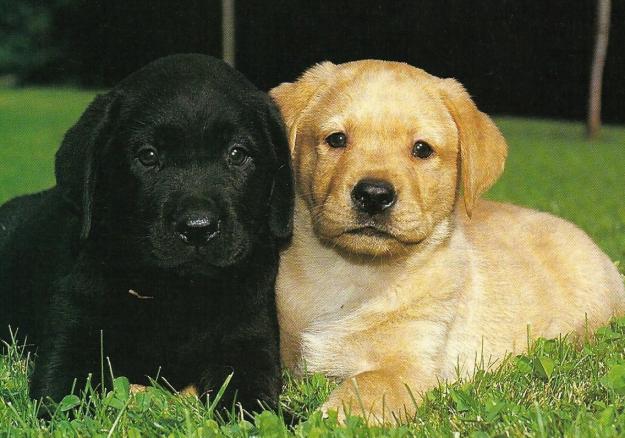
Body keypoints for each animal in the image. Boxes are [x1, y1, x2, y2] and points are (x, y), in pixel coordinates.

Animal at [0, 54, 292, 410]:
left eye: (237, 154)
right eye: (148, 155)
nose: (198, 228)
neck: (175, 293)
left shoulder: (248, 339)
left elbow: (250, 400)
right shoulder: (72, 333)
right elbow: (63, 399)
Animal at [270, 60, 624, 422]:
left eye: (422, 149)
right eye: (337, 139)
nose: (373, 195)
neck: (352, 275)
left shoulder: (407, 367)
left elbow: (363, 389)